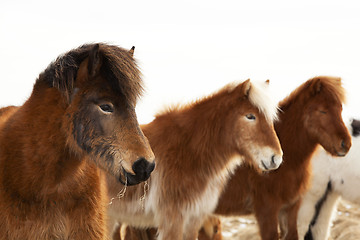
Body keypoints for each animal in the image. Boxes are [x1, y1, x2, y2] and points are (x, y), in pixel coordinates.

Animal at [198, 76, 350, 240]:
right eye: (322, 110)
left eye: (340, 109)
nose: (345, 144)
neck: (290, 163)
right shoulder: (267, 211)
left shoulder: (290, 209)